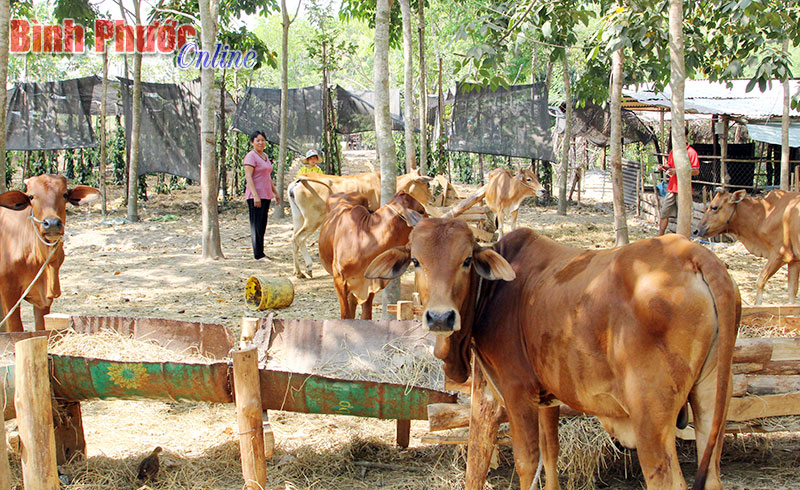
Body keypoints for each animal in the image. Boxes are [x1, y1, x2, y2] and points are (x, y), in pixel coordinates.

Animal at [0, 174, 100, 332]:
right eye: (31, 196)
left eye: (64, 194)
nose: (52, 223)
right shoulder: (8, 292)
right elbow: (15, 329)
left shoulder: (44, 299)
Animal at [290, 169, 432, 278]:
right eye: (424, 184)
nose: (432, 198)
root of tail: (298, 181)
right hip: (313, 219)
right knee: (299, 238)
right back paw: (308, 267)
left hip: (298, 218)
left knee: (294, 239)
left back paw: (298, 272)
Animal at [318, 191, 428, 322]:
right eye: (421, 211)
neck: (362, 238)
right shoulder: (339, 281)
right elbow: (345, 316)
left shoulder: (370, 284)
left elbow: (366, 316)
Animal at [368, 219, 736, 490]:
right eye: (416, 261)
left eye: (466, 260)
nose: (441, 317)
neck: (492, 292)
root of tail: (695, 255)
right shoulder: (547, 399)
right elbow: (550, 454)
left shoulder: (514, 393)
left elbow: (522, 461)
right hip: (709, 402)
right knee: (713, 477)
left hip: (651, 420)